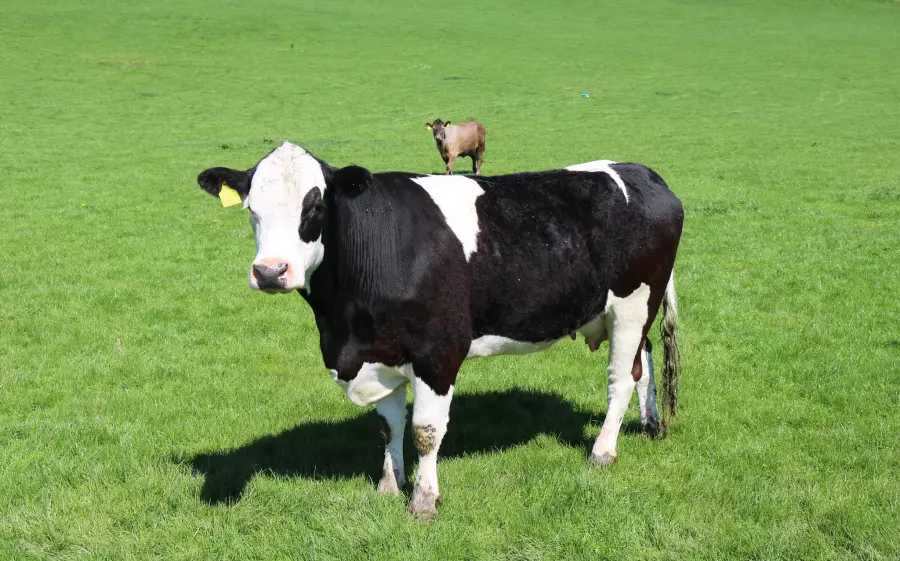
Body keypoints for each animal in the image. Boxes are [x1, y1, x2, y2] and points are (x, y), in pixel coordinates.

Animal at [195, 142, 684, 521]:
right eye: (251, 209)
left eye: (314, 206)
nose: (270, 271)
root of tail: (642, 172)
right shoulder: (379, 353)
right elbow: (389, 427)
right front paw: (389, 485)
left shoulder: (438, 351)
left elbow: (425, 430)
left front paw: (424, 501)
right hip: (630, 310)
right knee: (644, 364)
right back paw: (649, 426)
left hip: (633, 303)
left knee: (621, 378)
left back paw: (603, 451)